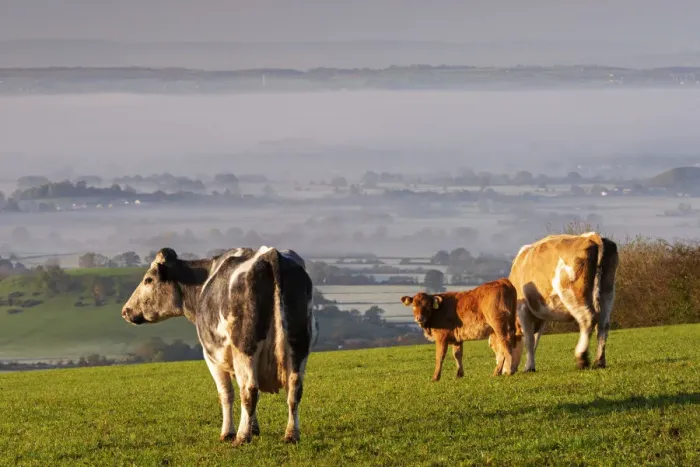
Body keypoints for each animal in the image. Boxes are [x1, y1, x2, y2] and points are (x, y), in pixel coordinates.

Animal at [121, 246, 317, 447]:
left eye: (148, 279)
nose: (125, 311)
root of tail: (271, 254)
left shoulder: (211, 357)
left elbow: (226, 394)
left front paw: (228, 432)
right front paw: (254, 429)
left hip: (245, 349)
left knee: (249, 391)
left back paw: (242, 437)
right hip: (299, 346)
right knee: (294, 390)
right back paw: (291, 435)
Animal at [507, 232, 618, 372]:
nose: (506, 371)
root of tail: (591, 236)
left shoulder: (522, 308)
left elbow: (529, 339)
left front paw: (528, 367)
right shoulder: (541, 316)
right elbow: (536, 338)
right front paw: (531, 364)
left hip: (572, 292)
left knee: (587, 318)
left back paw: (581, 357)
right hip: (607, 291)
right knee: (603, 325)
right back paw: (599, 361)